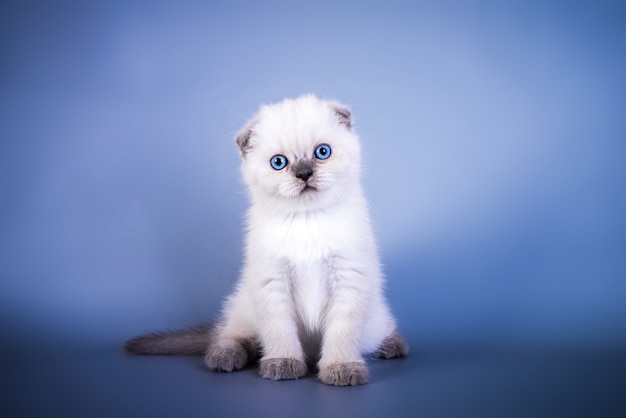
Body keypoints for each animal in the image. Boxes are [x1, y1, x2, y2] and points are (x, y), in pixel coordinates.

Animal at [124, 94, 408, 386]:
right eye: (279, 163)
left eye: (322, 152)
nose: (304, 174)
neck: (307, 220)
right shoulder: (272, 281)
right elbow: (279, 329)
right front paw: (283, 363)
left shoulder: (348, 279)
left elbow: (341, 332)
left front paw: (342, 367)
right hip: (245, 305)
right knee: (231, 335)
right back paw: (225, 358)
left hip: (374, 319)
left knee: (383, 330)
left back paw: (392, 347)